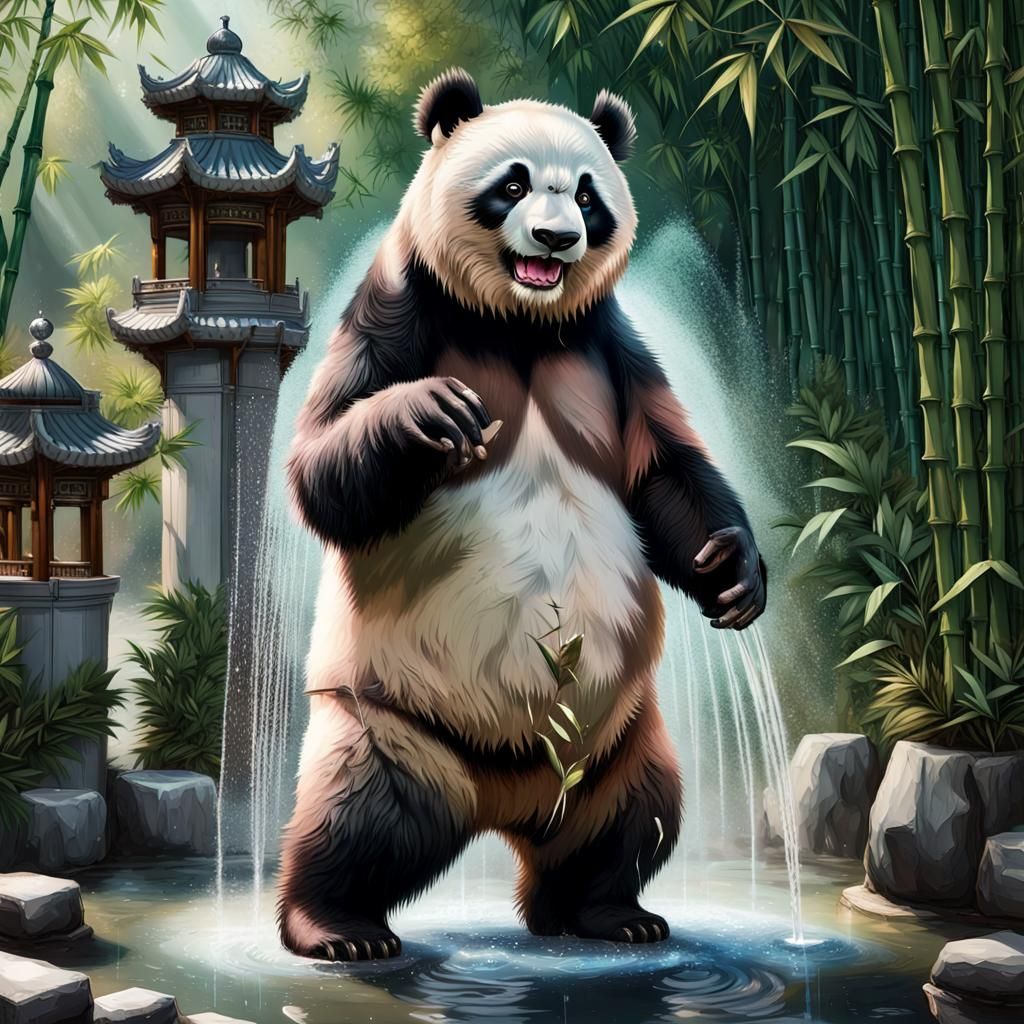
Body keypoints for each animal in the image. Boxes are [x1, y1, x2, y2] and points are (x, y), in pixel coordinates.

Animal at [278, 68, 767, 962]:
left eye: (587, 194)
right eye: (510, 184)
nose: (554, 238)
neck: (518, 323)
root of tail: (510, 806)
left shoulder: (609, 345)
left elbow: (664, 468)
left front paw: (732, 573)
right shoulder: (399, 309)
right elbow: (325, 467)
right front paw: (429, 414)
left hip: (624, 731)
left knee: (634, 816)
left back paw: (609, 914)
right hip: (395, 718)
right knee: (365, 814)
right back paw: (338, 926)